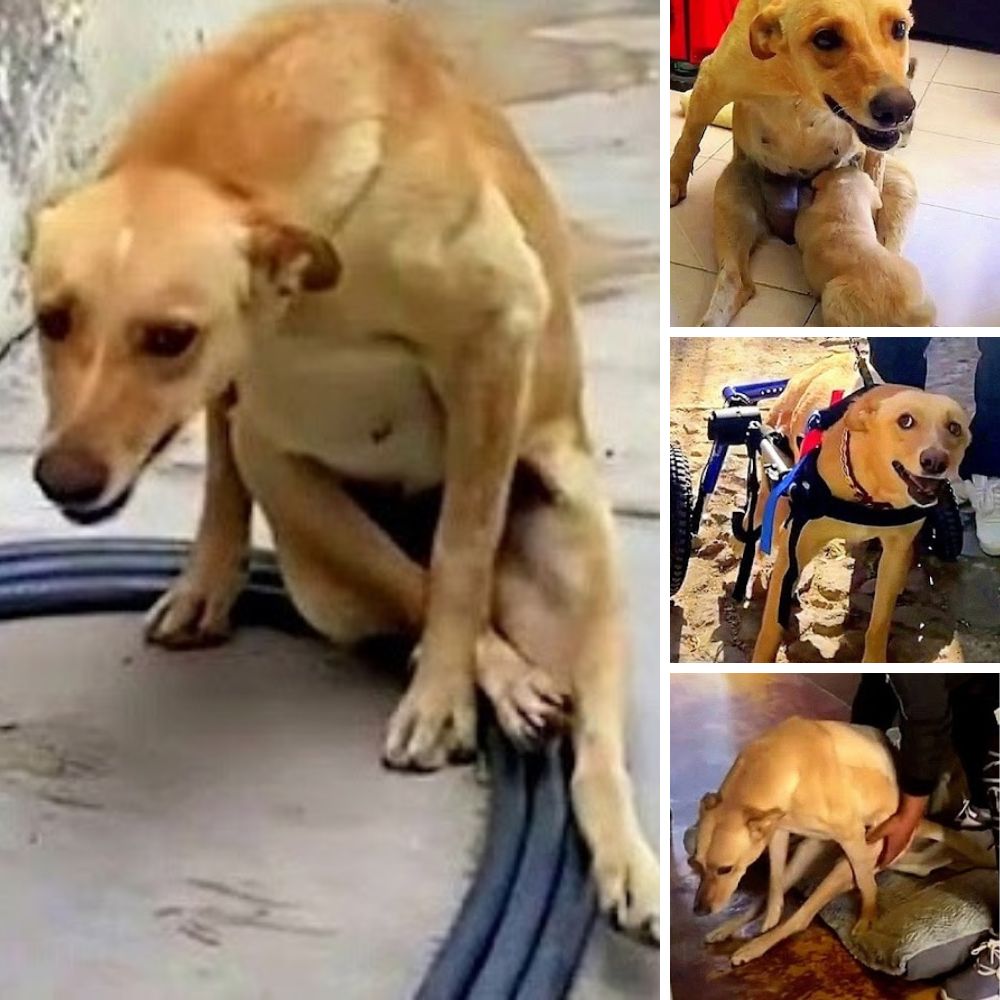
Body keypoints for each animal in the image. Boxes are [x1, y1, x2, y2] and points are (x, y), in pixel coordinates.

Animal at [25, 3, 656, 936]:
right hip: (311, 543)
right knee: (394, 580)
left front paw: (440, 698)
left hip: (582, 554)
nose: (63, 479)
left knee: (597, 742)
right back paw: (500, 675)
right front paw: (206, 582)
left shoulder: (498, 333)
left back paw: (624, 855)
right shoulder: (248, 416)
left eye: (171, 337)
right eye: (51, 319)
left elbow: (461, 552)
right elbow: (238, 488)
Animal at [672, 0, 920, 324]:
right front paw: (673, 184)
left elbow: (873, 170)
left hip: (903, 188)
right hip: (731, 193)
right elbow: (689, 137)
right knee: (736, 282)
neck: (798, 85)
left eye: (900, 28)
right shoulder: (711, 81)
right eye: (825, 39)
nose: (901, 110)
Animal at [692, 716, 996, 964]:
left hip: (847, 863)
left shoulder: (853, 838)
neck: (777, 764)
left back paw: (753, 947)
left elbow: (868, 886)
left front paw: (867, 917)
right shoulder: (778, 832)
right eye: (696, 864)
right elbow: (775, 883)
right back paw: (731, 930)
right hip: (809, 850)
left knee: (804, 916)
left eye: (725, 869)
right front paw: (770, 916)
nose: (699, 911)